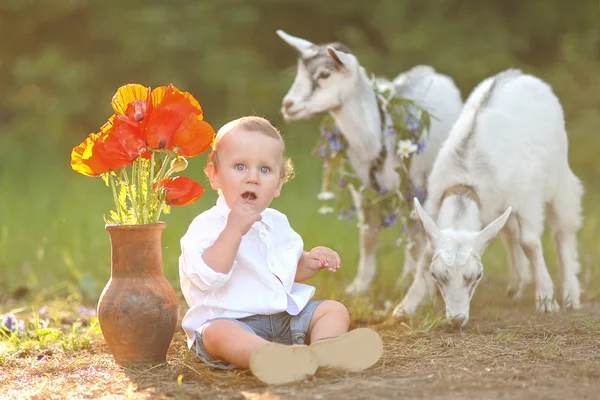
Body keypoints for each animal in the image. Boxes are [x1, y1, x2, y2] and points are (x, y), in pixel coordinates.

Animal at [276, 30, 464, 294]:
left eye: (324, 74)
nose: (288, 105)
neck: (375, 138)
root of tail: (431, 71)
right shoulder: (363, 192)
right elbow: (368, 238)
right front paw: (359, 287)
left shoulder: (411, 186)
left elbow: (415, 236)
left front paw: (412, 283)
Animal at [392, 68, 584, 324]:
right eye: (436, 275)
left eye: (476, 275)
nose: (457, 319)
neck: (466, 182)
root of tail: (518, 74)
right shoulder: (435, 204)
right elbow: (425, 255)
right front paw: (406, 306)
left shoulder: (526, 200)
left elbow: (530, 243)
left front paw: (545, 299)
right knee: (511, 233)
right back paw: (515, 285)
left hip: (559, 173)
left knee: (563, 228)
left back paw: (571, 295)